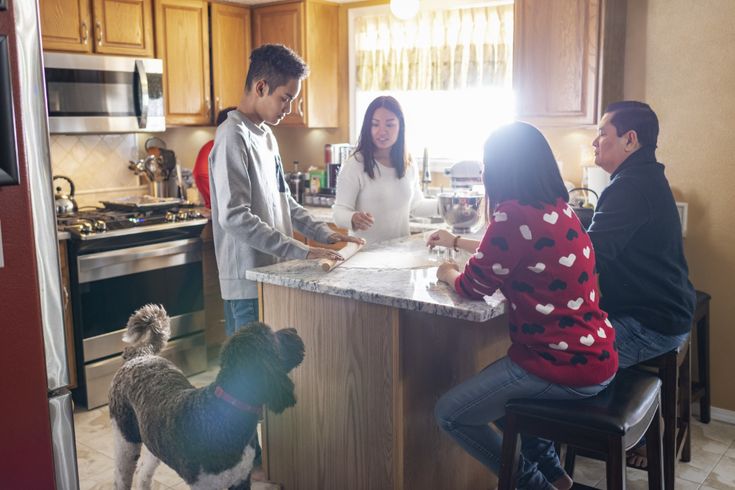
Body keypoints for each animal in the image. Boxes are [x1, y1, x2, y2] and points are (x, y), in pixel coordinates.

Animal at [109, 304, 304, 488]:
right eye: (273, 337)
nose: (295, 330)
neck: (224, 410)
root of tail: (141, 355)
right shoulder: (203, 485)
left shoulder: (241, 479)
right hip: (126, 443)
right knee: (121, 479)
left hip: (153, 442)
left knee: (143, 472)